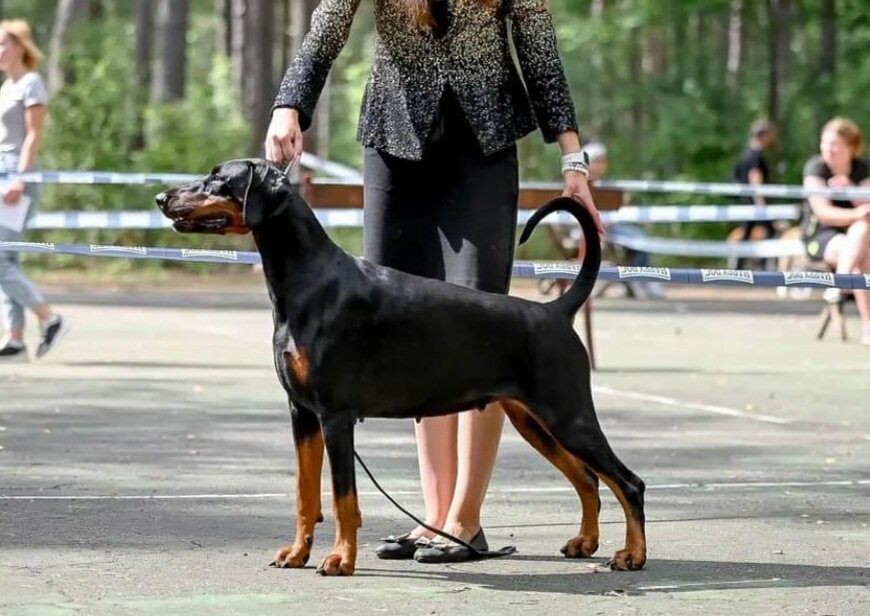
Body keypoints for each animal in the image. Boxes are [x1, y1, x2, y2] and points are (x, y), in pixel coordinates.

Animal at [157, 160, 648, 576]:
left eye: (218, 178)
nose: (162, 197)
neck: (307, 280)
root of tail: (554, 311)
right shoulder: (303, 414)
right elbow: (304, 493)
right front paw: (296, 553)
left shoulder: (335, 416)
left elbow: (343, 496)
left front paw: (340, 560)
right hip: (534, 422)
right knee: (588, 478)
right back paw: (585, 542)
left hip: (568, 415)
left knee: (629, 482)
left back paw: (632, 555)